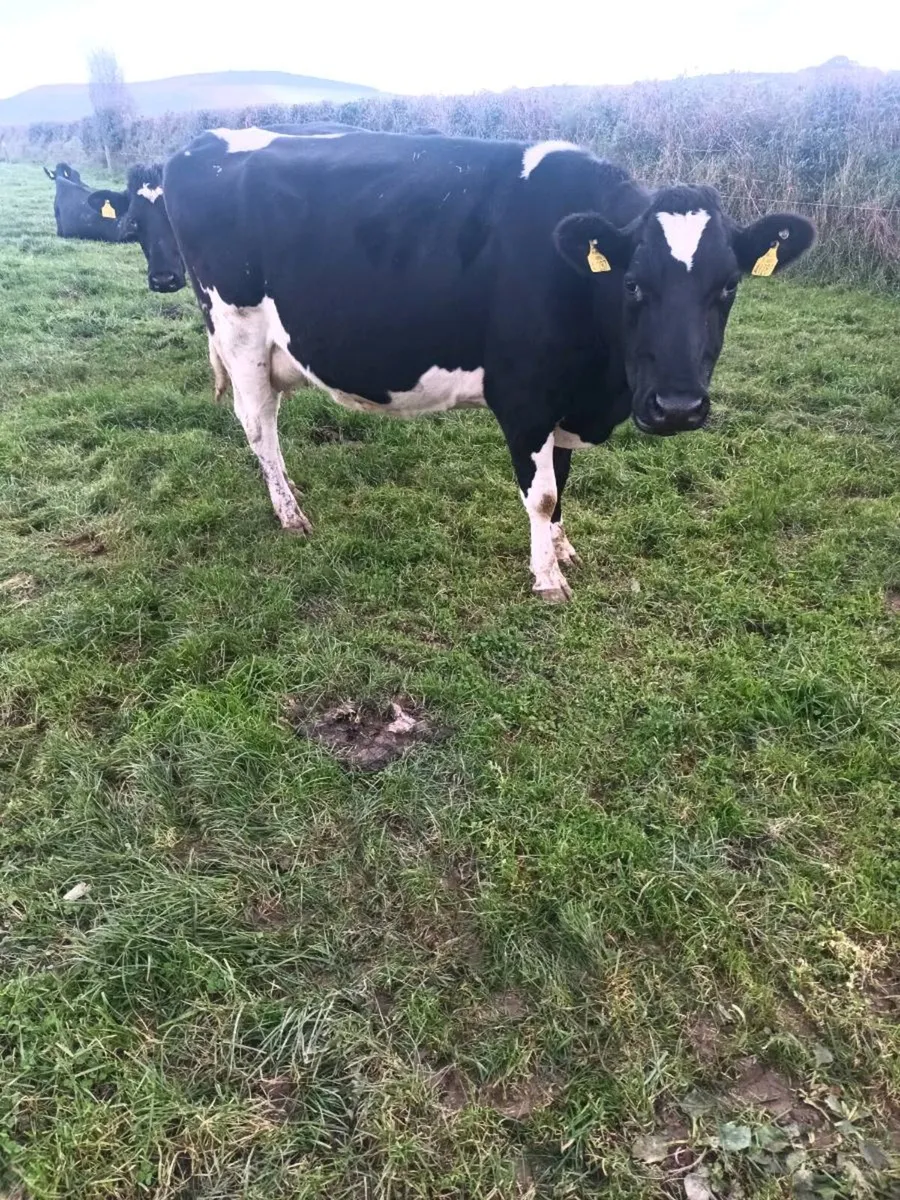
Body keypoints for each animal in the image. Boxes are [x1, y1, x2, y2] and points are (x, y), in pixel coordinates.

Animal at [160, 129, 814, 600]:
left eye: (727, 287)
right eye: (632, 284)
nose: (678, 407)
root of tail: (200, 143)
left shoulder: (564, 400)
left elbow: (563, 482)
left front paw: (562, 548)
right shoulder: (525, 397)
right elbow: (543, 493)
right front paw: (548, 578)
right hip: (239, 334)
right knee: (260, 429)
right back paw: (290, 513)